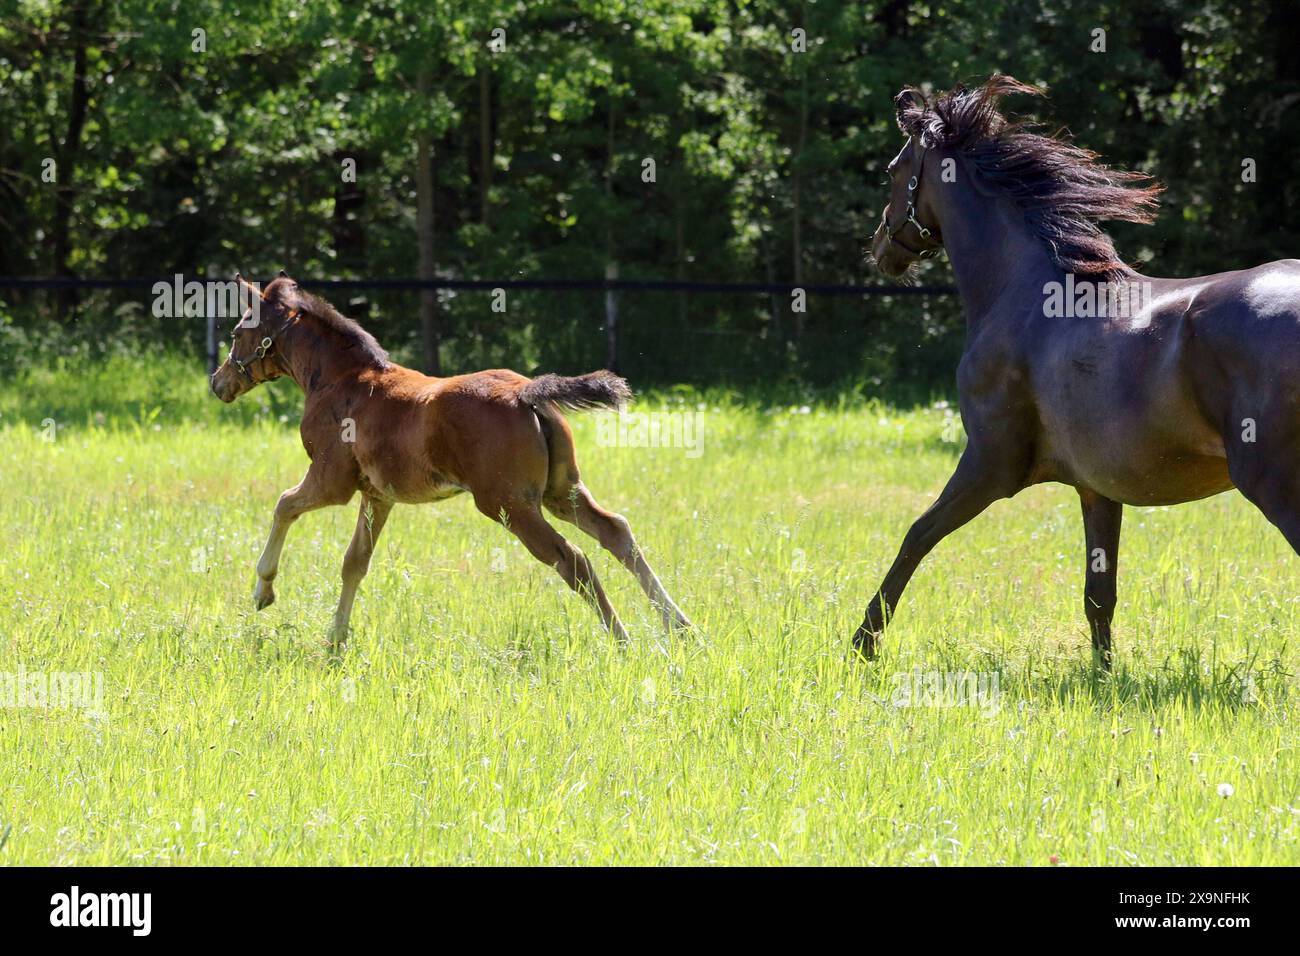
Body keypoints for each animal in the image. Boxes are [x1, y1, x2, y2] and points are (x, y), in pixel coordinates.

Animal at [210, 274, 691, 650]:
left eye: (235, 333)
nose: (218, 382)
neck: (340, 379)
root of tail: (526, 393)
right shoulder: (378, 496)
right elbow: (354, 562)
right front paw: (335, 640)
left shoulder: (332, 481)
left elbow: (283, 505)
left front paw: (263, 591)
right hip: (561, 491)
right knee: (616, 532)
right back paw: (681, 627)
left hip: (509, 505)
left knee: (572, 559)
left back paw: (624, 640)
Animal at [860, 74, 1299, 667]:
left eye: (893, 169)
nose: (880, 249)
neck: (1024, 292)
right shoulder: (1098, 488)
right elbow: (1099, 595)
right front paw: (1104, 675)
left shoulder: (990, 464)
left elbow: (916, 536)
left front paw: (862, 645)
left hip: (1272, 481)